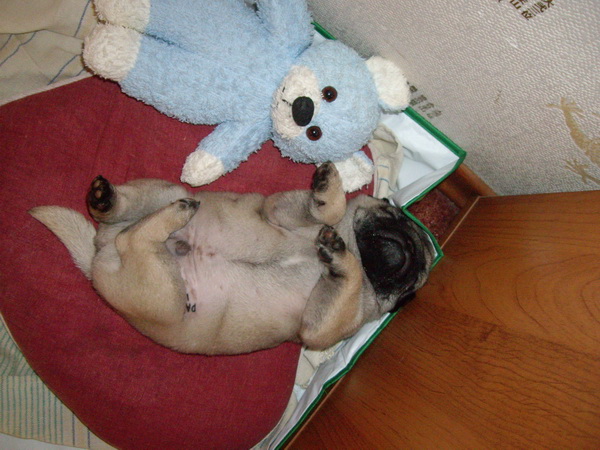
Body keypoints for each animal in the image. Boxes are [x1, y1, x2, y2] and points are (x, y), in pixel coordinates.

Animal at [30, 163, 434, 355]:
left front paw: (338, 255)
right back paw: (106, 199)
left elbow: (343, 276)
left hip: (165, 295)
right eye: (390, 210)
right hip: (163, 195)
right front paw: (328, 188)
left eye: (414, 283)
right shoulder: (281, 211)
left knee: (135, 237)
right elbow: (330, 210)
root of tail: (98, 253)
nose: (413, 247)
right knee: (128, 222)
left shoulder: (320, 327)